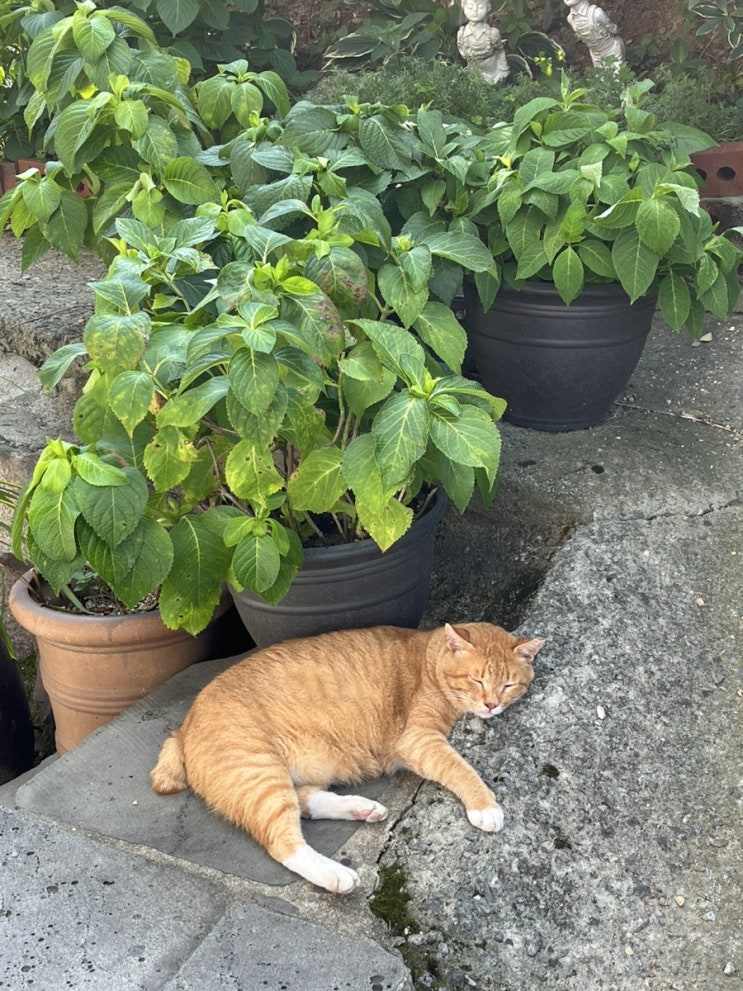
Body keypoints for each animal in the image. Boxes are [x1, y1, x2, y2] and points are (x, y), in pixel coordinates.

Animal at [150, 622, 544, 894]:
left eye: (508, 685)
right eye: (477, 680)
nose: (491, 705)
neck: (430, 661)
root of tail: (182, 725)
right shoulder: (419, 740)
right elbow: (460, 768)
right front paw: (485, 805)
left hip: (278, 773)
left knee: (305, 802)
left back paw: (361, 808)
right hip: (257, 770)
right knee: (284, 842)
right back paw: (336, 875)